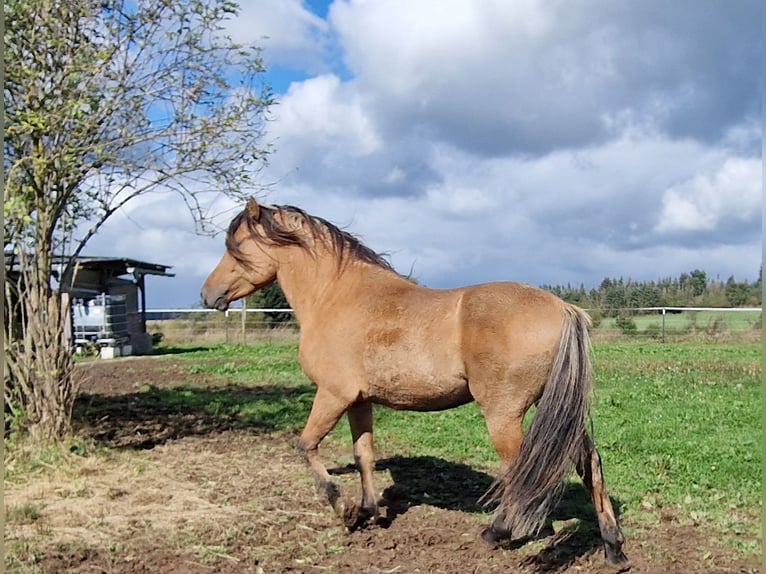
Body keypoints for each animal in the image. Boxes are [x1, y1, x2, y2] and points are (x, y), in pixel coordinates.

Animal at [202, 199, 632, 568]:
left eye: (236, 247)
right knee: (589, 464)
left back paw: (496, 533)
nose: (207, 294)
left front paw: (345, 510)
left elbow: (306, 446)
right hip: (556, 410)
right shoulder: (360, 400)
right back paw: (613, 549)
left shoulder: (333, 395)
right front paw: (370, 512)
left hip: (504, 414)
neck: (336, 296)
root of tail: (564, 308)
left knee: (519, 469)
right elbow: (364, 454)